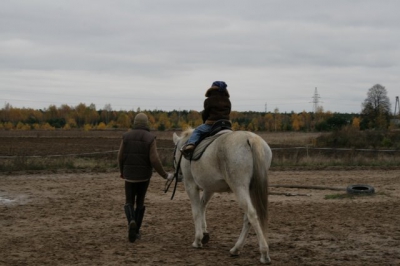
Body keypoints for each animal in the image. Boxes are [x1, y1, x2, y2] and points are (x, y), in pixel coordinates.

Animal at [172, 129, 272, 264]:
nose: (178, 176)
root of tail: (250, 138)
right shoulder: (209, 188)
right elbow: (202, 206)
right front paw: (204, 234)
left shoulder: (190, 186)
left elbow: (196, 212)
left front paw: (198, 240)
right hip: (250, 189)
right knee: (248, 218)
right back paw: (236, 249)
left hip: (239, 187)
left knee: (251, 214)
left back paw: (264, 253)